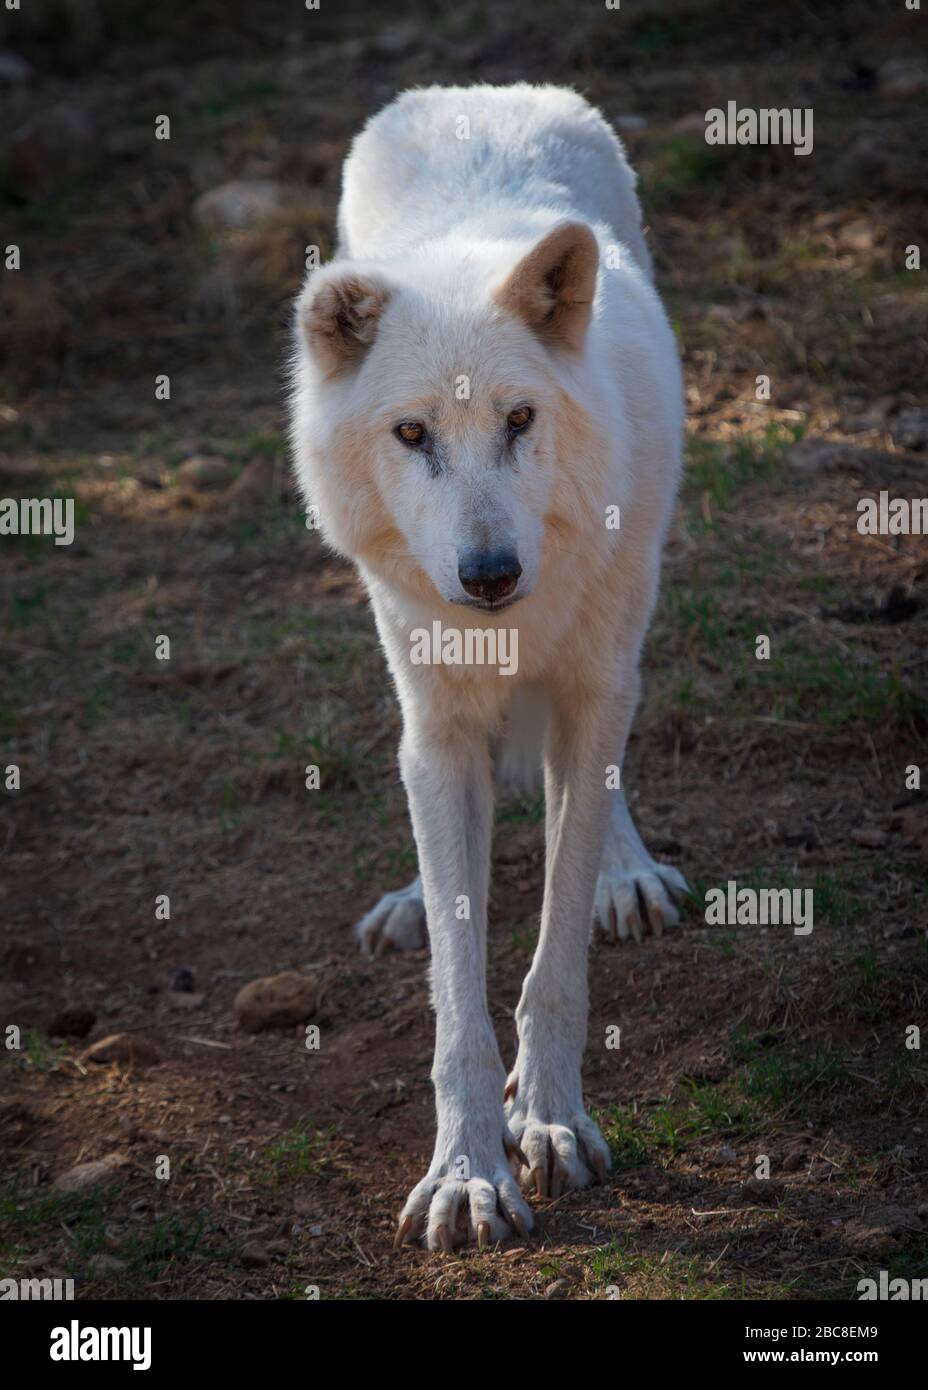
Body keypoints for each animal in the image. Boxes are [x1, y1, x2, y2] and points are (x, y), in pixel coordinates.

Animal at [290, 83, 687, 1251]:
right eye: (412, 432)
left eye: (519, 419)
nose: (490, 573)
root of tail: (479, 93)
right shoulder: (440, 725)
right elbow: (456, 1004)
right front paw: (467, 1171)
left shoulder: (592, 689)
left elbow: (554, 959)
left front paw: (548, 1121)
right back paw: (415, 897)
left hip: (628, 615)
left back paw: (626, 874)